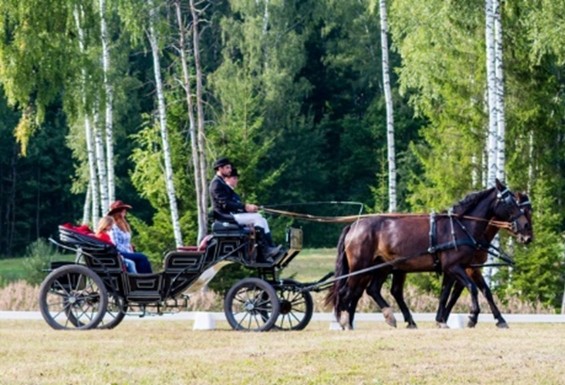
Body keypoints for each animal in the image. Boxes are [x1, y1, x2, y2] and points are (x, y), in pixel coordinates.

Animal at [324, 178, 532, 328]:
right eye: (510, 202)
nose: (526, 231)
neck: (461, 226)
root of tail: (354, 225)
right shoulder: (457, 267)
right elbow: (472, 288)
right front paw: (472, 317)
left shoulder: (456, 268)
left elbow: (449, 293)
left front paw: (442, 320)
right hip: (360, 267)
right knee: (347, 292)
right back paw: (344, 322)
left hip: (381, 267)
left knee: (369, 290)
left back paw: (389, 319)